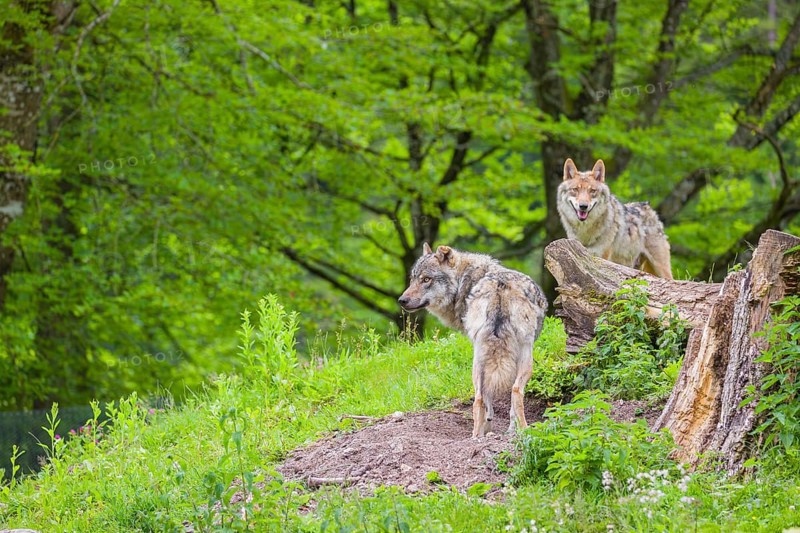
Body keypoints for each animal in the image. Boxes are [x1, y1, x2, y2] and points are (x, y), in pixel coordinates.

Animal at [398, 243, 547, 437]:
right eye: (413, 279)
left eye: (426, 279)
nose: (401, 300)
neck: (465, 282)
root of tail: (499, 288)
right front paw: (507, 431)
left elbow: (490, 404)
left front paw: (494, 430)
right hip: (524, 357)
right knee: (515, 391)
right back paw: (524, 431)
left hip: (479, 360)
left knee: (479, 399)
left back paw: (476, 436)